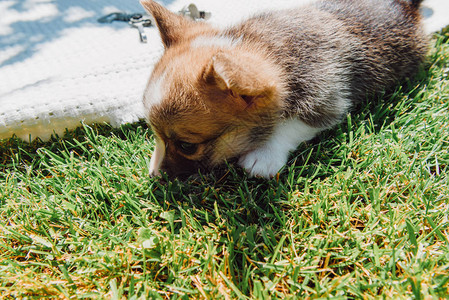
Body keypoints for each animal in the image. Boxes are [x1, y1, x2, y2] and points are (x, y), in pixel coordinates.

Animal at [140, 0, 428, 178]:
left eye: (187, 146)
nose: (155, 176)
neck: (266, 48)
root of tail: (405, 6)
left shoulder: (325, 99)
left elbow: (290, 124)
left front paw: (263, 156)